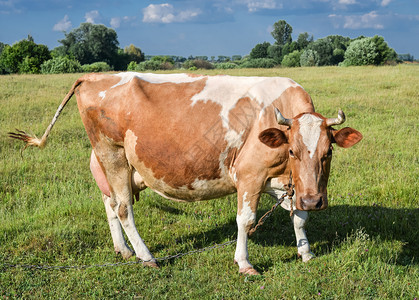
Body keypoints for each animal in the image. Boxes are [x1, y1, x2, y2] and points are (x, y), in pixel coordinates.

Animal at [10, 72, 364, 274]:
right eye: (292, 151)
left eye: (328, 152)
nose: (316, 200)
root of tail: (93, 76)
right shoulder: (250, 174)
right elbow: (245, 220)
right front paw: (245, 263)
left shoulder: (289, 182)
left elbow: (299, 216)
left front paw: (306, 252)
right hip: (112, 154)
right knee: (123, 208)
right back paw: (146, 256)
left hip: (107, 163)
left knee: (110, 204)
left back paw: (123, 250)